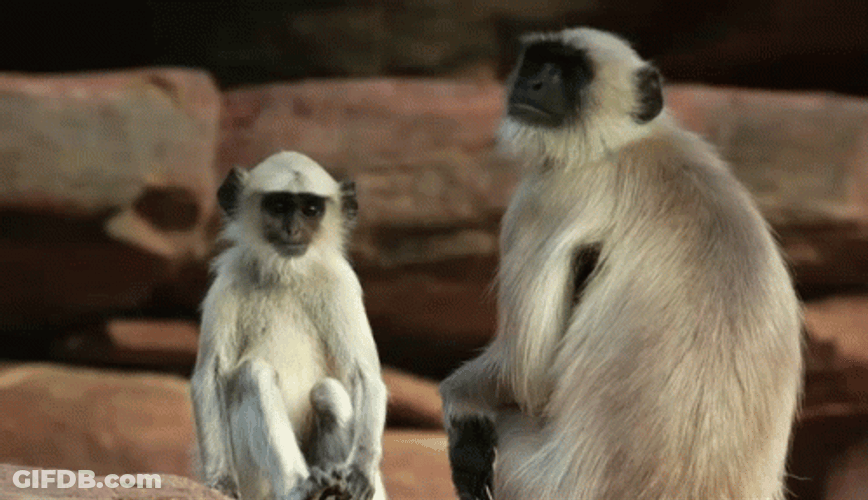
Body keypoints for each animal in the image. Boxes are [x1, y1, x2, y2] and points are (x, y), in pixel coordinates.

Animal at [191, 151, 388, 500]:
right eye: (279, 206)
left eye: (311, 210)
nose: (293, 230)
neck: (285, 275)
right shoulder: (228, 282)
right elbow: (209, 378)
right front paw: (220, 482)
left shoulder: (341, 282)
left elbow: (365, 376)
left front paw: (361, 471)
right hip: (254, 478)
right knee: (253, 374)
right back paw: (302, 486)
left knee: (328, 392)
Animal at [439, 27, 803, 500]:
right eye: (537, 61)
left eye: (571, 72)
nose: (531, 84)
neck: (627, 143)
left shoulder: (544, 197)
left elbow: (525, 370)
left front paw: (460, 403)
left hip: (536, 478)